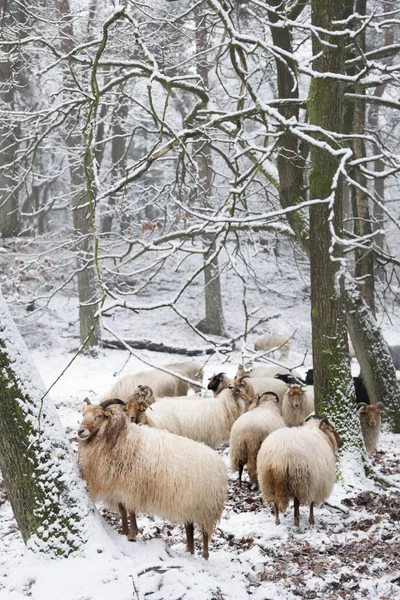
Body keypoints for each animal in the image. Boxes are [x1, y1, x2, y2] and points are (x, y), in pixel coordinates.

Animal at [78, 404, 228, 556]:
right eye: (83, 414)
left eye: (99, 415)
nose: (80, 431)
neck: (119, 438)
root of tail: (219, 464)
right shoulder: (118, 486)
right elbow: (122, 509)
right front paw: (124, 532)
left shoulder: (130, 486)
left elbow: (130, 510)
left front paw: (132, 534)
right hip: (189, 504)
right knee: (189, 528)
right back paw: (189, 551)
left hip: (206, 507)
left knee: (205, 533)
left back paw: (204, 555)